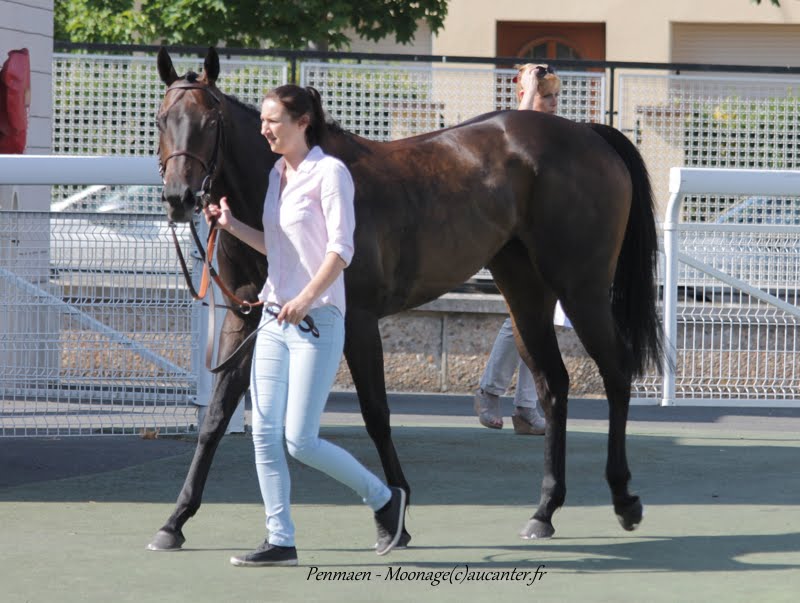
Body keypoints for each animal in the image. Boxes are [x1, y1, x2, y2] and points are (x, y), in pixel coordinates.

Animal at [148, 44, 664, 548]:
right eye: (160, 118)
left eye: (210, 121)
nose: (180, 197)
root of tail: (589, 134)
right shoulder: (248, 317)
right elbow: (216, 416)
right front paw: (175, 519)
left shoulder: (357, 320)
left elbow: (376, 412)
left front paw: (395, 510)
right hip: (523, 292)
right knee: (553, 384)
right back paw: (545, 510)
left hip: (583, 288)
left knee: (617, 373)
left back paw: (624, 498)